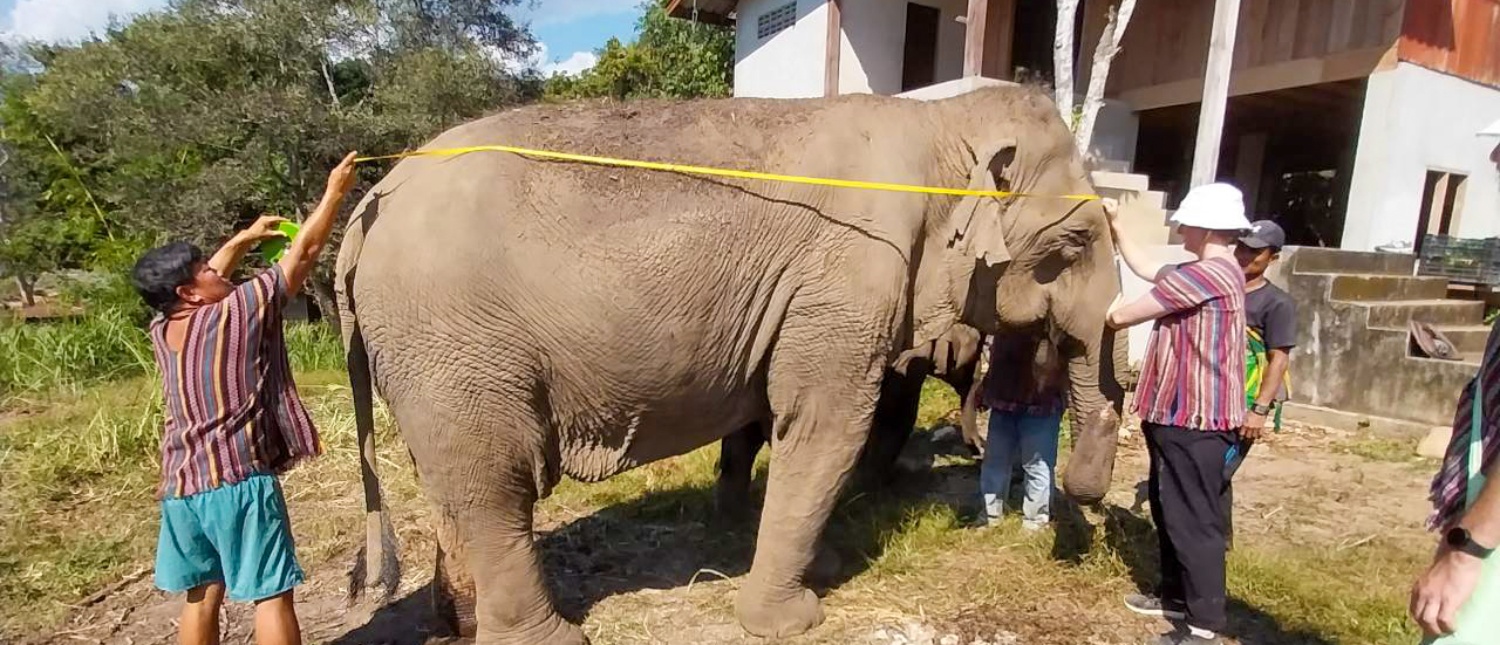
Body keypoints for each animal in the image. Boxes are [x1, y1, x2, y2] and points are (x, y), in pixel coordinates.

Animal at [336, 86, 1126, 644]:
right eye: (1080, 241)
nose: (1085, 509)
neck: (938, 121)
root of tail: (371, 198)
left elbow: (771, 416)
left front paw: (802, 562)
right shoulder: (846, 278)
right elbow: (824, 427)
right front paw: (794, 618)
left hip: (429, 360)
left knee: (456, 485)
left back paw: (459, 623)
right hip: (455, 346)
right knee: (497, 482)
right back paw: (549, 637)